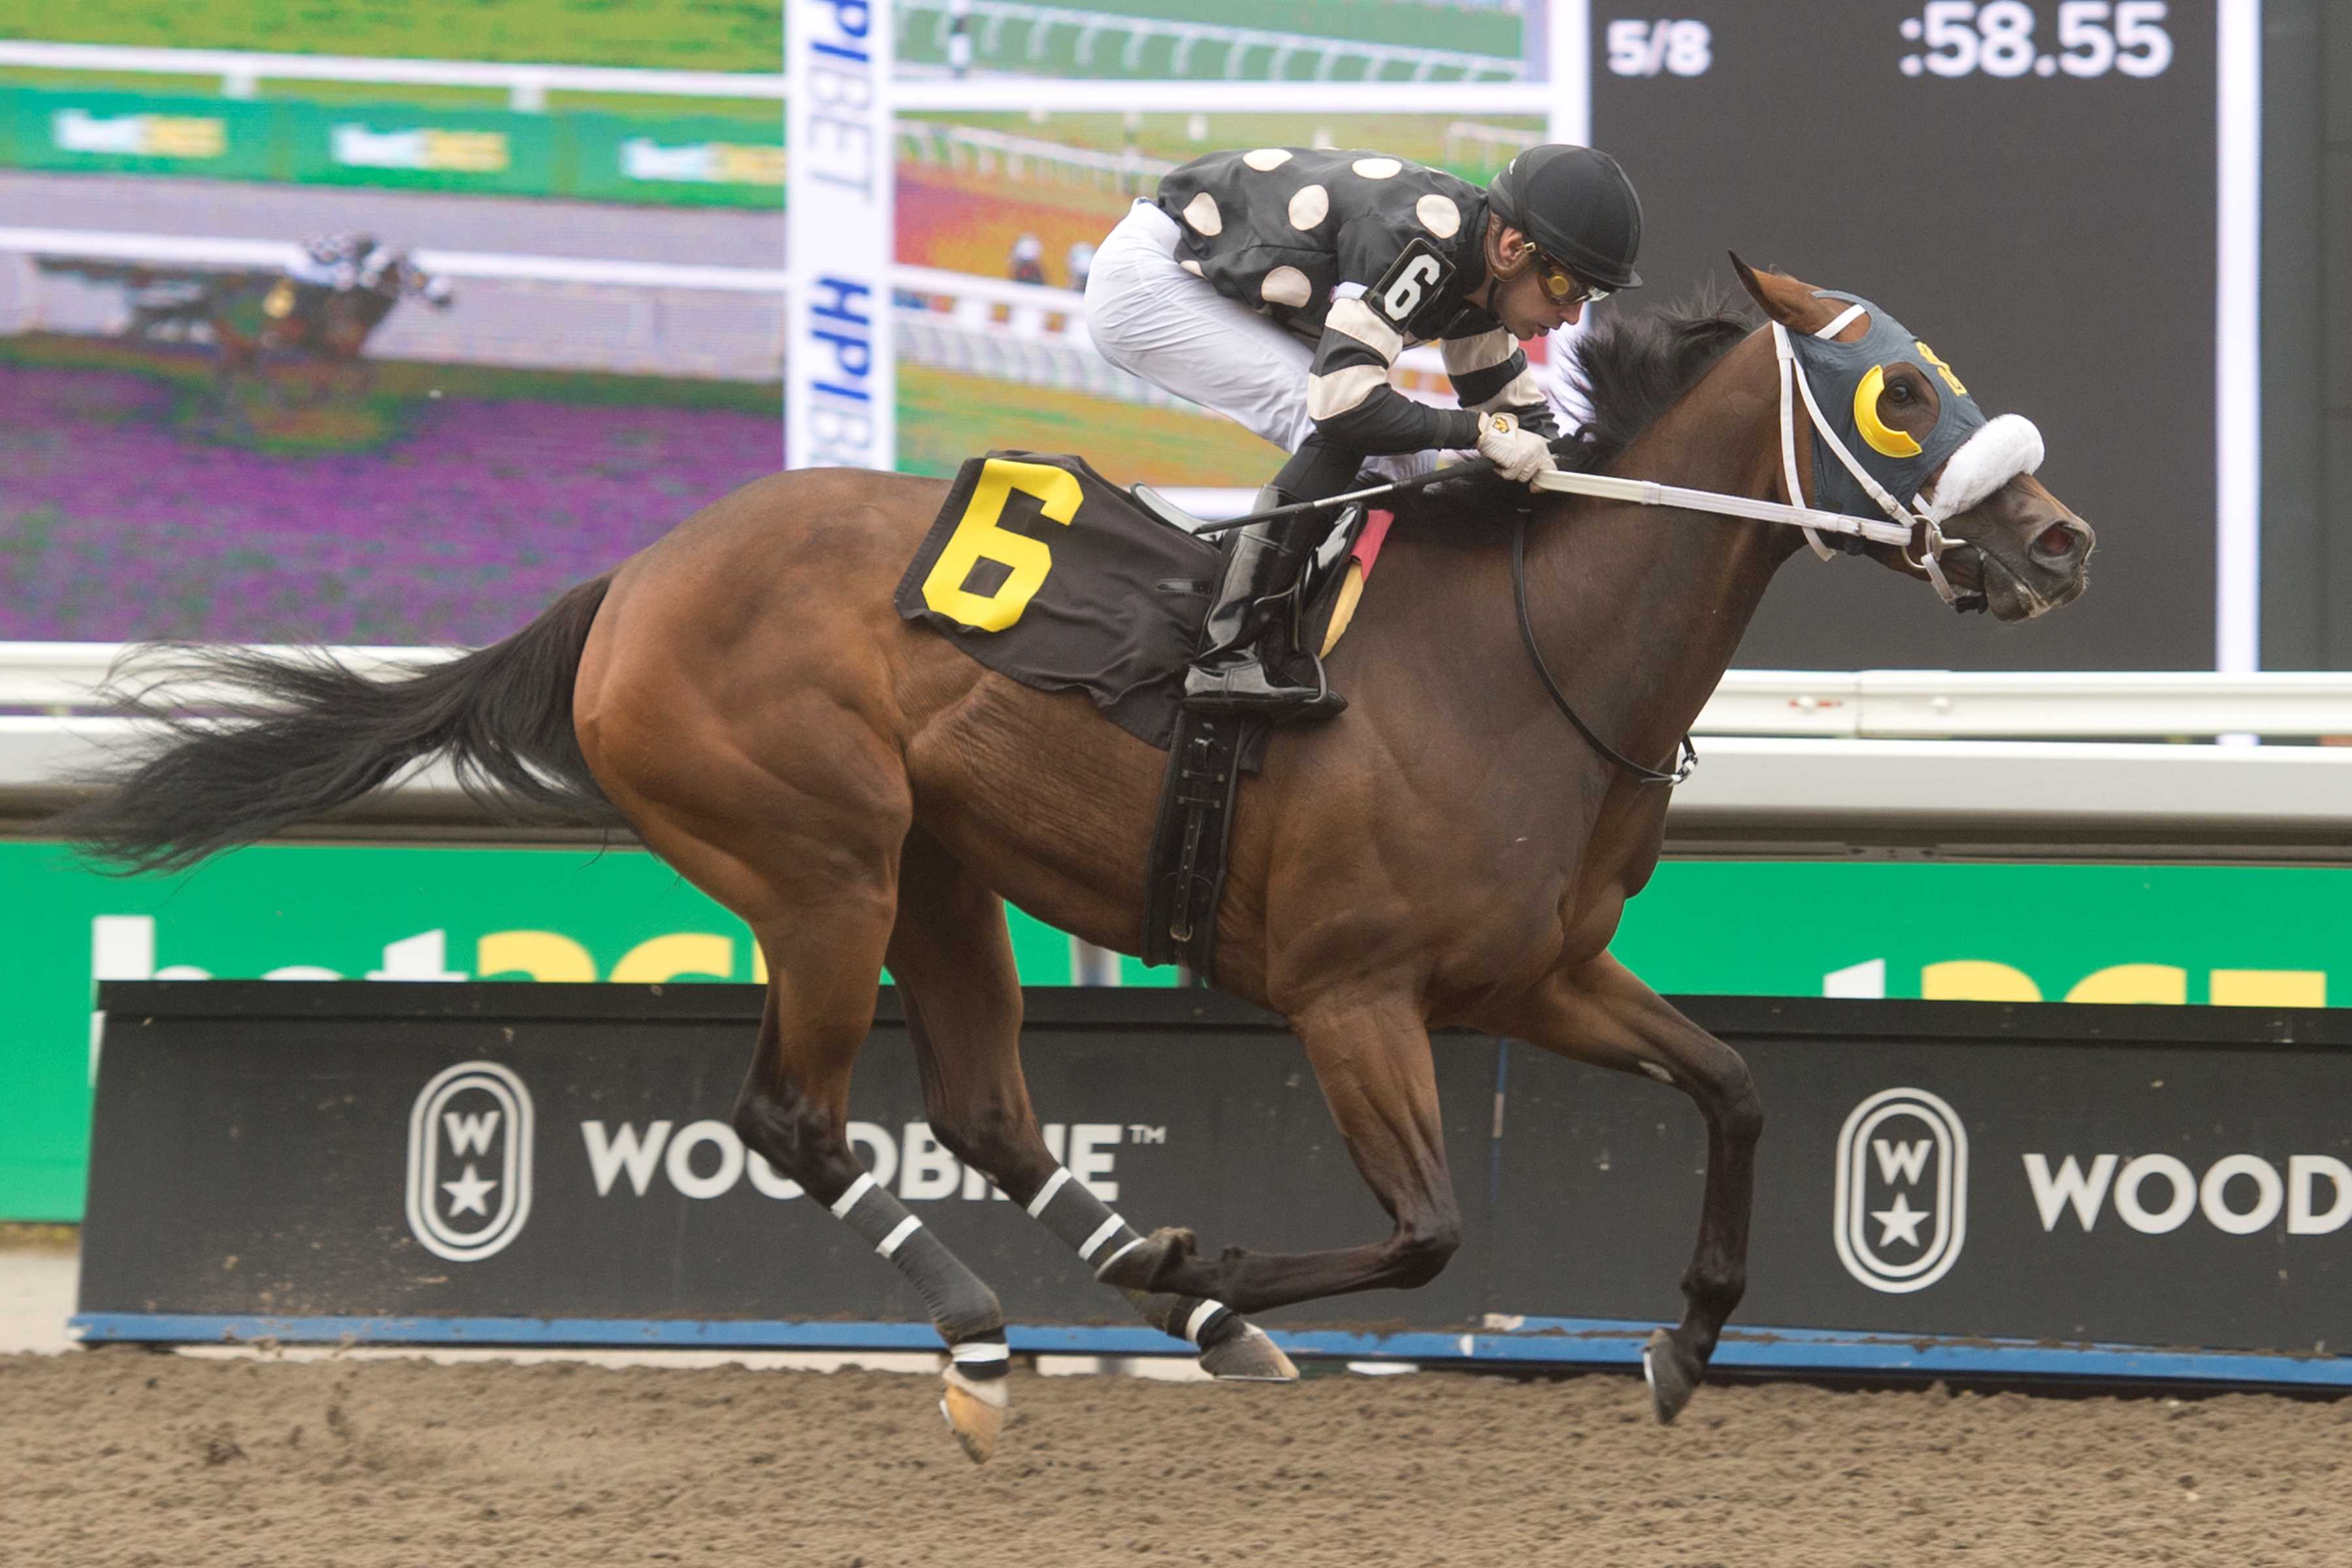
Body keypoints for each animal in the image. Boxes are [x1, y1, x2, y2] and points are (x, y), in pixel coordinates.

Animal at [69, 263, 2098, 1467]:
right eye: (1901, 398)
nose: (2060, 540)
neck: (1524, 652)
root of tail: (630, 580)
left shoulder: (1536, 976)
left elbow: (1738, 1085)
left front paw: (1679, 1342)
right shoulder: (1352, 992)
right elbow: (1431, 1225)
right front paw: (1224, 1258)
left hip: (942, 875)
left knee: (980, 1110)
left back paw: (1158, 1291)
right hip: (826, 863)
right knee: (798, 1115)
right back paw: (1001, 1335)